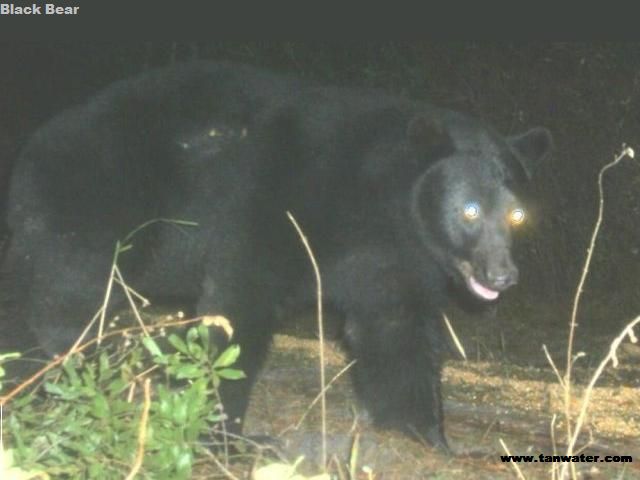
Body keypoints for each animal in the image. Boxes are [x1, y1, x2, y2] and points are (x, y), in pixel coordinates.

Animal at [0, 62, 552, 448]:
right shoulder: (277, 204)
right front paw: (224, 433)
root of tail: (33, 147)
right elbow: (239, 306)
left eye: (517, 215)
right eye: (469, 210)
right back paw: (78, 375)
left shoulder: (394, 257)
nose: (503, 275)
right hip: (97, 205)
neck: (378, 199)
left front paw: (426, 434)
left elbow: (396, 331)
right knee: (68, 298)